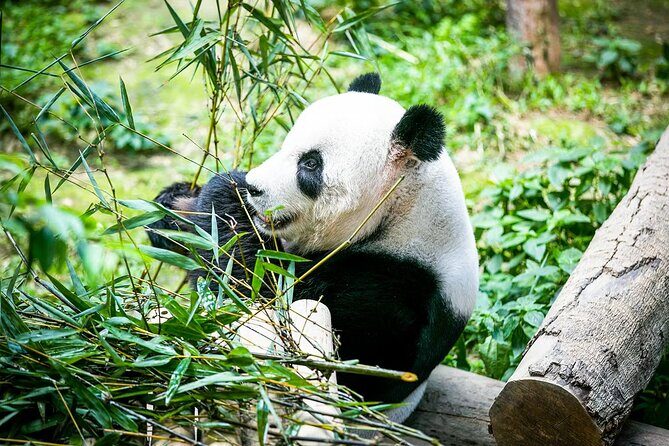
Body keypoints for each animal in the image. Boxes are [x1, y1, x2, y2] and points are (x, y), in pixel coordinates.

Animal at [147, 73, 478, 423]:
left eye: (310, 164)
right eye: (285, 146)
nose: (254, 187)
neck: (402, 214)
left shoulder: (393, 294)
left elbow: (259, 300)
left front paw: (225, 192)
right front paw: (173, 204)